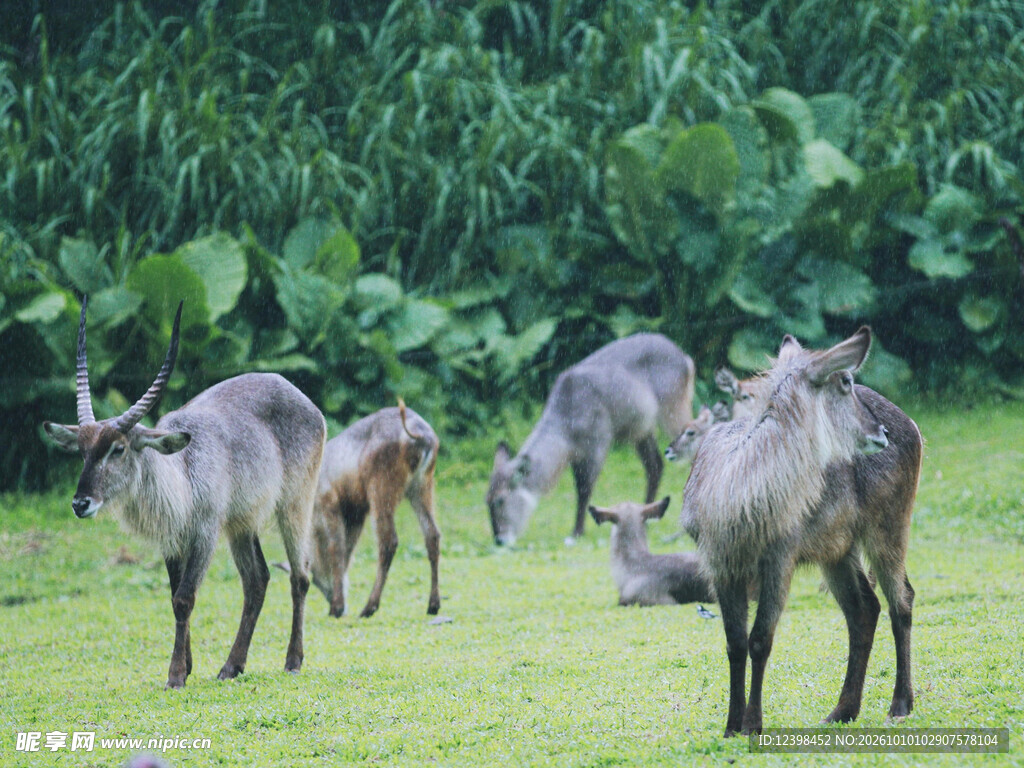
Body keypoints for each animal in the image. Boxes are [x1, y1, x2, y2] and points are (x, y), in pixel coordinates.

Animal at [42, 299, 326, 689]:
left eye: (118, 449)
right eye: (82, 452)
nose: (80, 503)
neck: (182, 476)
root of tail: (292, 388)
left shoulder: (205, 533)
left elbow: (185, 598)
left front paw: (175, 674)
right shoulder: (172, 540)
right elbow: (173, 595)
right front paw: (188, 665)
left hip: (295, 503)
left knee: (300, 576)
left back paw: (293, 660)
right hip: (241, 523)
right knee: (257, 581)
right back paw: (231, 666)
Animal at [295, 400, 441, 619]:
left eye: (315, 579)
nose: (330, 598)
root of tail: (423, 436)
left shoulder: (329, 502)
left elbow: (337, 548)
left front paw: (337, 607)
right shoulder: (356, 512)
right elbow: (348, 551)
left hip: (381, 485)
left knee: (389, 540)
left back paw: (369, 607)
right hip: (422, 484)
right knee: (432, 534)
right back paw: (433, 605)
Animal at [487, 333, 695, 547]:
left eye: (500, 499)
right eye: (487, 500)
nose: (499, 540)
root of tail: (684, 357)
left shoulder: (597, 445)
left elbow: (584, 489)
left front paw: (576, 532)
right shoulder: (577, 454)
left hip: (673, 410)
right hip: (641, 429)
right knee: (655, 465)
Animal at [681, 328, 921, 736]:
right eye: (845, 381)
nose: (881, 431)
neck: (738, 493)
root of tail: (913, 424)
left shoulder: (781, 555)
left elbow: (760, 639)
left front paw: (753, 725)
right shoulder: (720, 563)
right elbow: (734, 644)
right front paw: (730, 727)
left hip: (888, 525)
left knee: (901, 598)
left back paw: (900, 704)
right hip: (837, 548)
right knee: (864, 608)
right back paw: (842, 711)